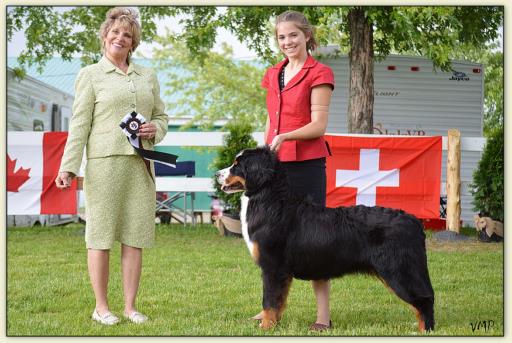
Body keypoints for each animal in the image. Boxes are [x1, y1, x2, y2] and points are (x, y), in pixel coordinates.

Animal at [214, 146, 434, 332]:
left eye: (237, 164)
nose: (217, 174)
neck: (271, 202)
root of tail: (413, 220)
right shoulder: (281, 272)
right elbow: (279, 301)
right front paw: (274, 324)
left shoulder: (273, 267)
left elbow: (269, 300)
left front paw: (266, 327)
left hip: (398, 269)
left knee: (424, 299)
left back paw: (426, 330)